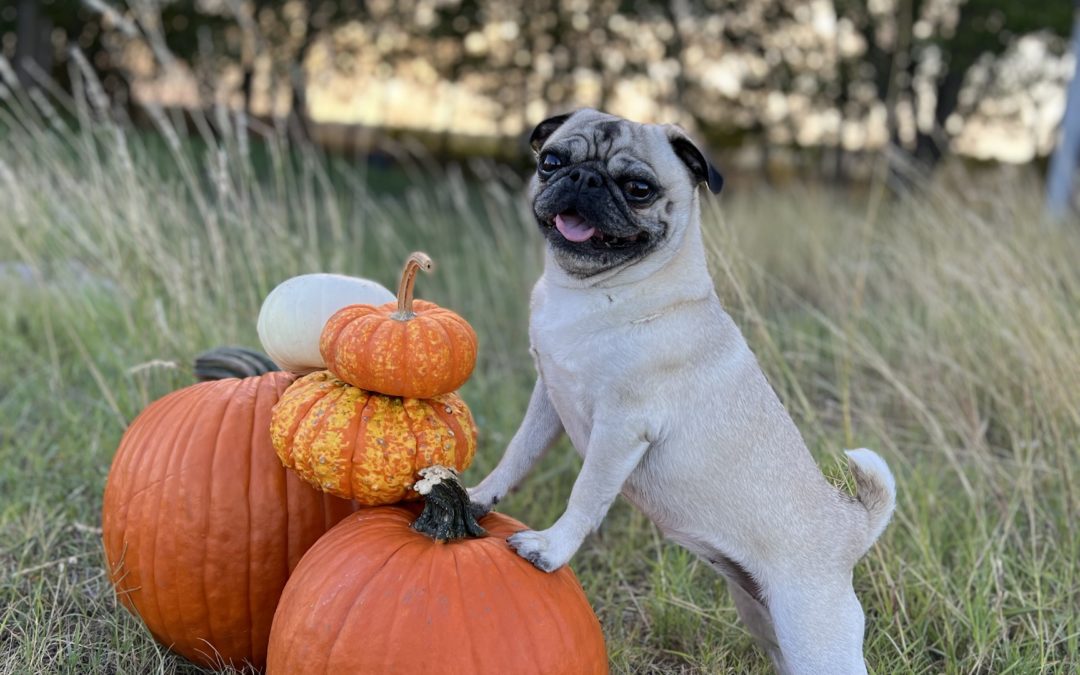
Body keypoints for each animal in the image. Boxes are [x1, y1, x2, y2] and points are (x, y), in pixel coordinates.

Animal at [468, 108, 898, 669]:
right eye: (552, 162)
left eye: (638, 189)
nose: (584, 179)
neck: (593, 293)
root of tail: (850, 527)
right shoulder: (549, 397)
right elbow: (517, 456)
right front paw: (476, 497)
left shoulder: (621, 427)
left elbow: (587, 493)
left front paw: (551, 547)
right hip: (764, 619)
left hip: (813, 637)